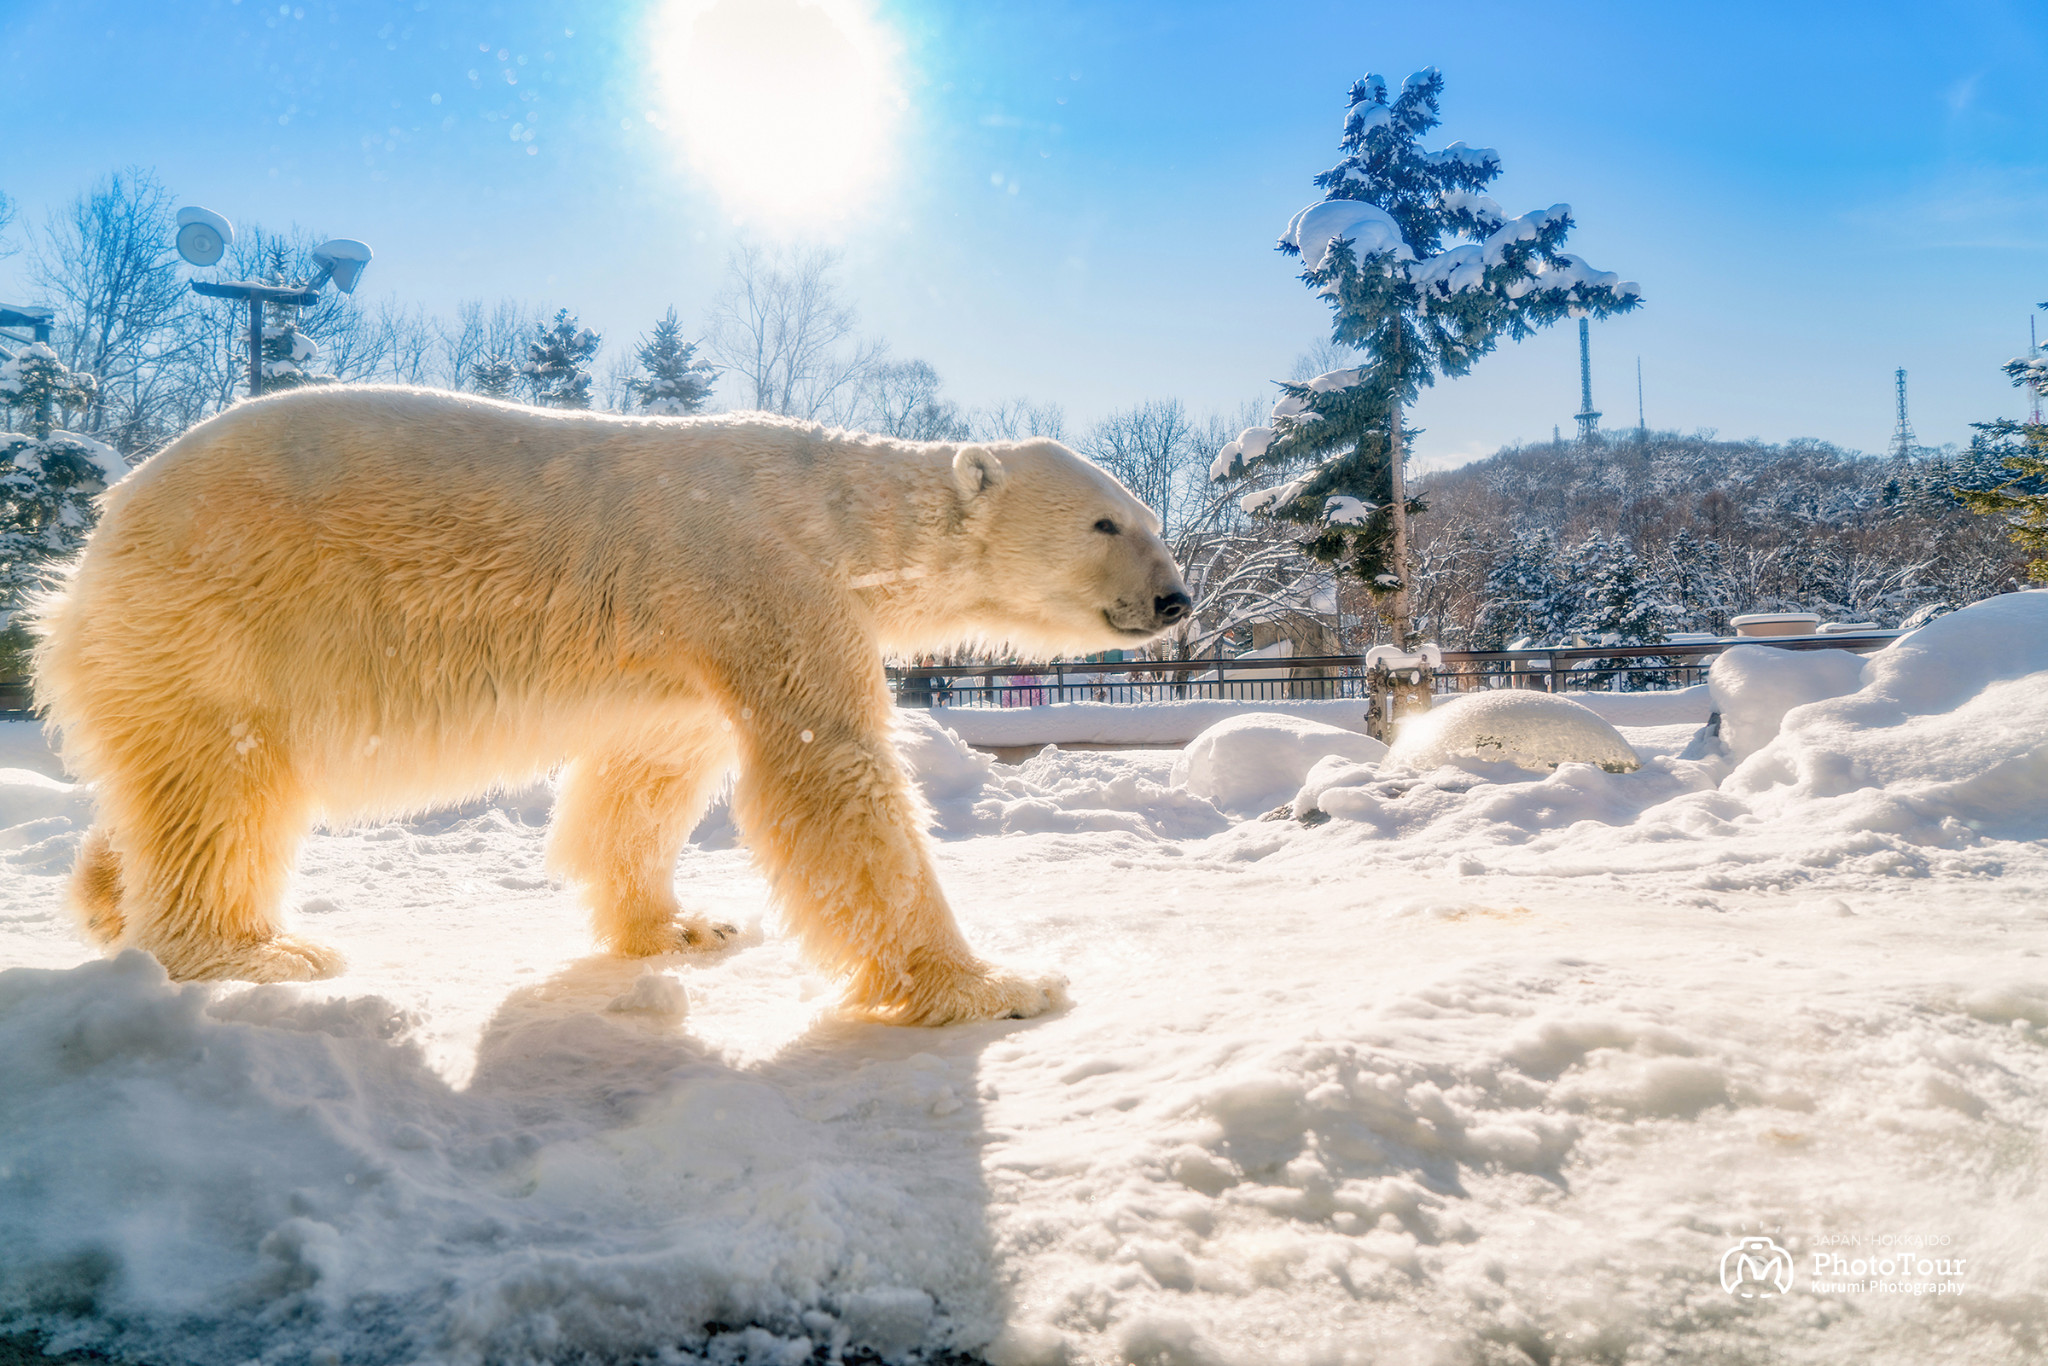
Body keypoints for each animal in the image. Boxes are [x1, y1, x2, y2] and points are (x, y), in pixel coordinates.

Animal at [32, 385, 1196, 1023]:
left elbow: (647, 770)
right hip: (225, 610)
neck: (833, 515)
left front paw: (682, 924)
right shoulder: (759, 575)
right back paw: (255, 949)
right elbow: (829, 771)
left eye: (1149, 516)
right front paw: (996, 983)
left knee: (180, 783)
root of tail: (95, 538)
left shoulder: (683, 640)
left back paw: (107, 893)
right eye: (1105, 521)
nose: (1175, 597)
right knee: (222, 782)